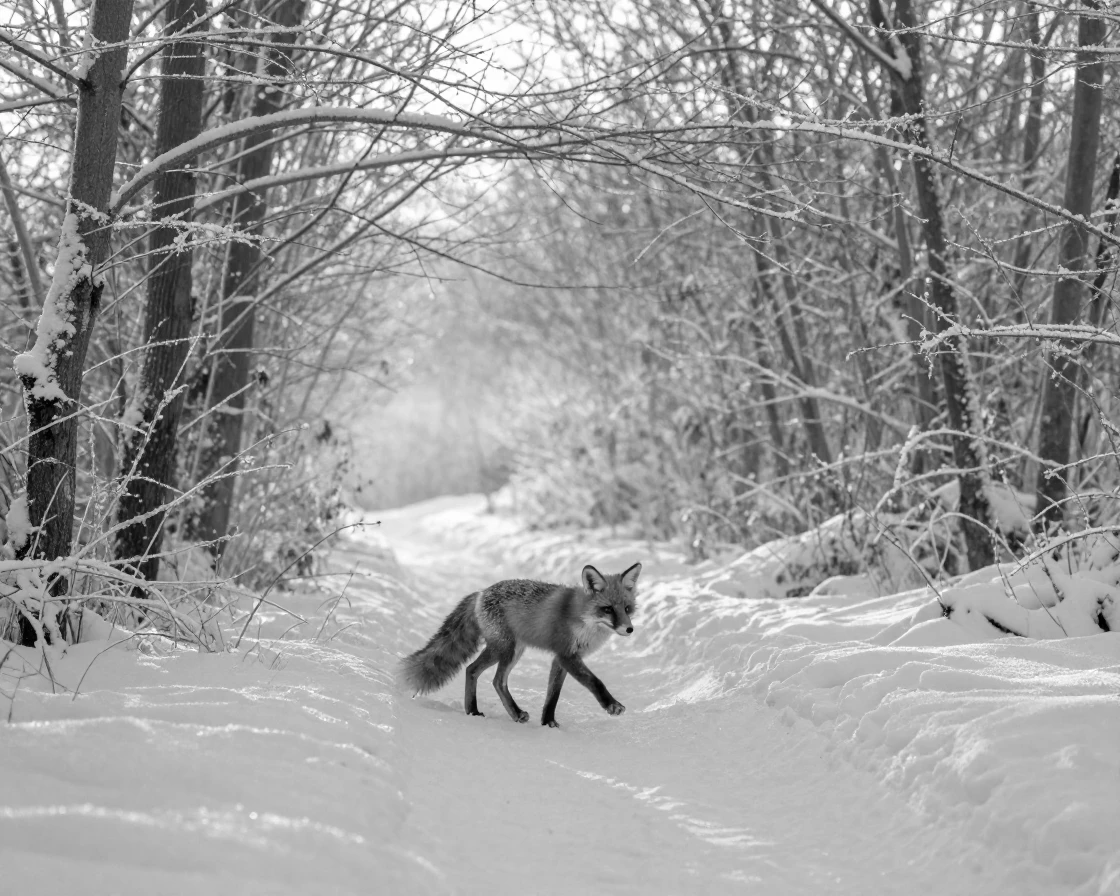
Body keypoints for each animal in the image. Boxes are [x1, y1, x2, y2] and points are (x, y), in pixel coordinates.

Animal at [399, 562, 641, 727]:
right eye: (608, 609)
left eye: (627, 609)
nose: (629, 629)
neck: (584, 619)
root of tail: (480, 593)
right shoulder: (567, 655)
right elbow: (595, 682)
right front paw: (611, 705)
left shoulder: (560, 658)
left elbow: (553, 695)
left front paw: (548, 723)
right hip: (505, 649)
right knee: (493, 678)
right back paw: (511, 713)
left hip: (512, 650)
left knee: (473, 670)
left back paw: (473, 711)